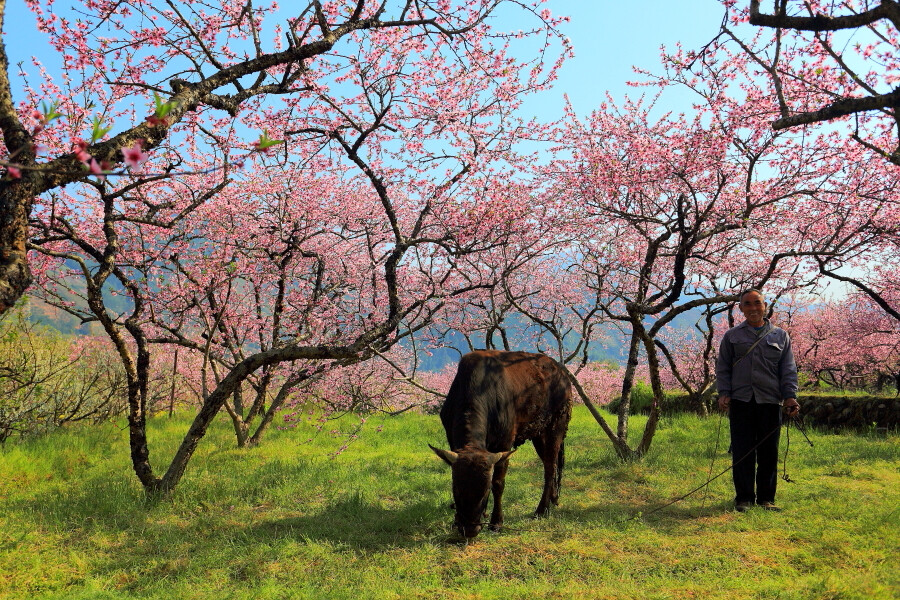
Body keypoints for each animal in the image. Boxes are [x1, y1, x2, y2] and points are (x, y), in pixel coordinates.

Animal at [429, 350, 573, 539]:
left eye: (485, 492)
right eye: (456, 489)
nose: (470, 529)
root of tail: (562, 372)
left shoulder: (504, 444)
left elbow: (498, 483)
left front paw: (496, 522)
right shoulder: (453, 441)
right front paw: (455, 522)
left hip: (555, 427)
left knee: (550, 468)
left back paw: (542, 509)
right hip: (539, 434)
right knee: (553, 464)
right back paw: (554, 498)